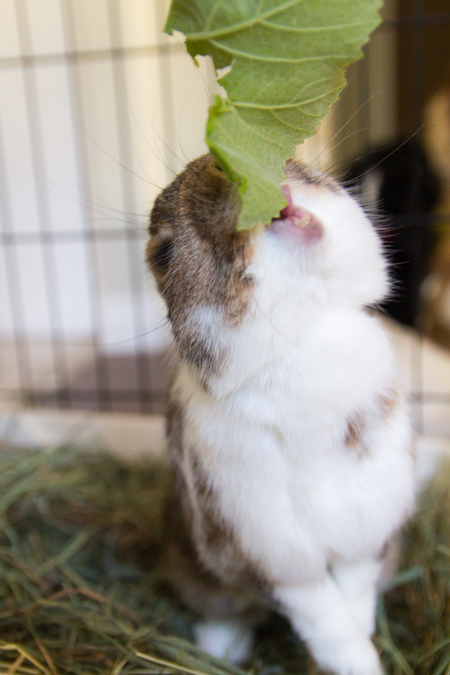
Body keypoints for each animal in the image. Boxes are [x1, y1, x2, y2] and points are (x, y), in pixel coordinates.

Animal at [147, 154, 414, 675]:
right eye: (162, 255)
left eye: (296, 161)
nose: (217, 163)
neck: (303, 338)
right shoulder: (269, 552)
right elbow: (326, 620)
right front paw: (359, 663)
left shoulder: (368, 530)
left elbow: (353, 599)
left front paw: (364, 649)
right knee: (225, 608)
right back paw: (221, 649)